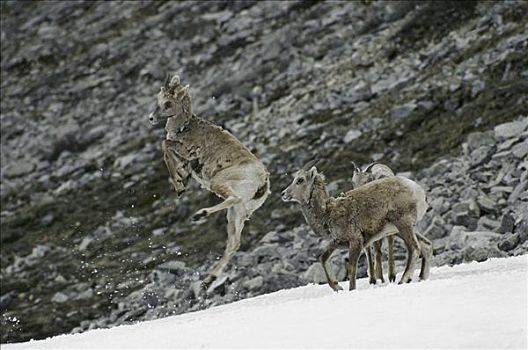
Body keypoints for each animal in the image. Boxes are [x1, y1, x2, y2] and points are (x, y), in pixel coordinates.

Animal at [148, 74, 272, 288]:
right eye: (159, 99)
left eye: (168, 103)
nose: (151, 118)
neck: (184, 127)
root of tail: (262, 183)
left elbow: (165, 146)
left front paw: (180, 183)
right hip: (237, 214)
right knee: (234, 243)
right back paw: (208, 280)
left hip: (220, 184)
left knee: (233, 199)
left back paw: (199, 215)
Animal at [282, 163, 432, 292]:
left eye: (300, 180)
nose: (283, 194)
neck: (328, 212)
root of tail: (417, 190)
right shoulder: (337, 242)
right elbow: (323, 258)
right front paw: (337, 287)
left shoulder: (356, 241)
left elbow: (352, 268)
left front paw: (350, 289)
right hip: (401, 229)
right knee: (426, 245)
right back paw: (421, 278)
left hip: (403, 224)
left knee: (414, 248)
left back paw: (403, 280)